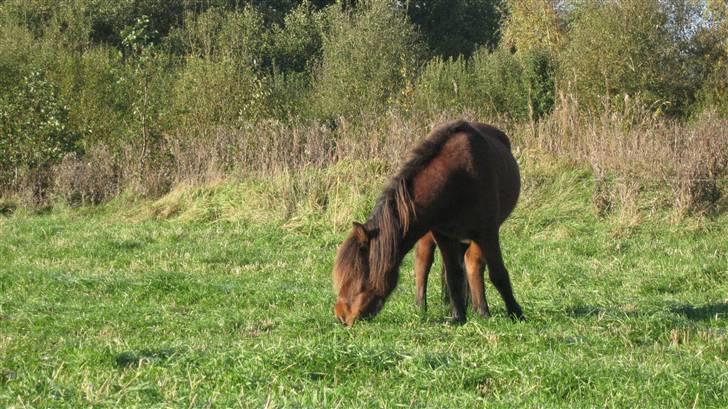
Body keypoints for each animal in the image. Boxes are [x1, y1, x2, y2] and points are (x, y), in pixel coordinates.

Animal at [332, 120, 528, 326]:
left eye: (358, 275)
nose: (341, 315)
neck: (458, 179)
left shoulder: (487, 232)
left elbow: (497, 274)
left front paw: (515, 313)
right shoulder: (443, 235)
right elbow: (453, 276)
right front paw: (458, 317)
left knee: (472, 263)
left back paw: (480, 309)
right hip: (429, 235)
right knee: (424, 262)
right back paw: (422, 306)